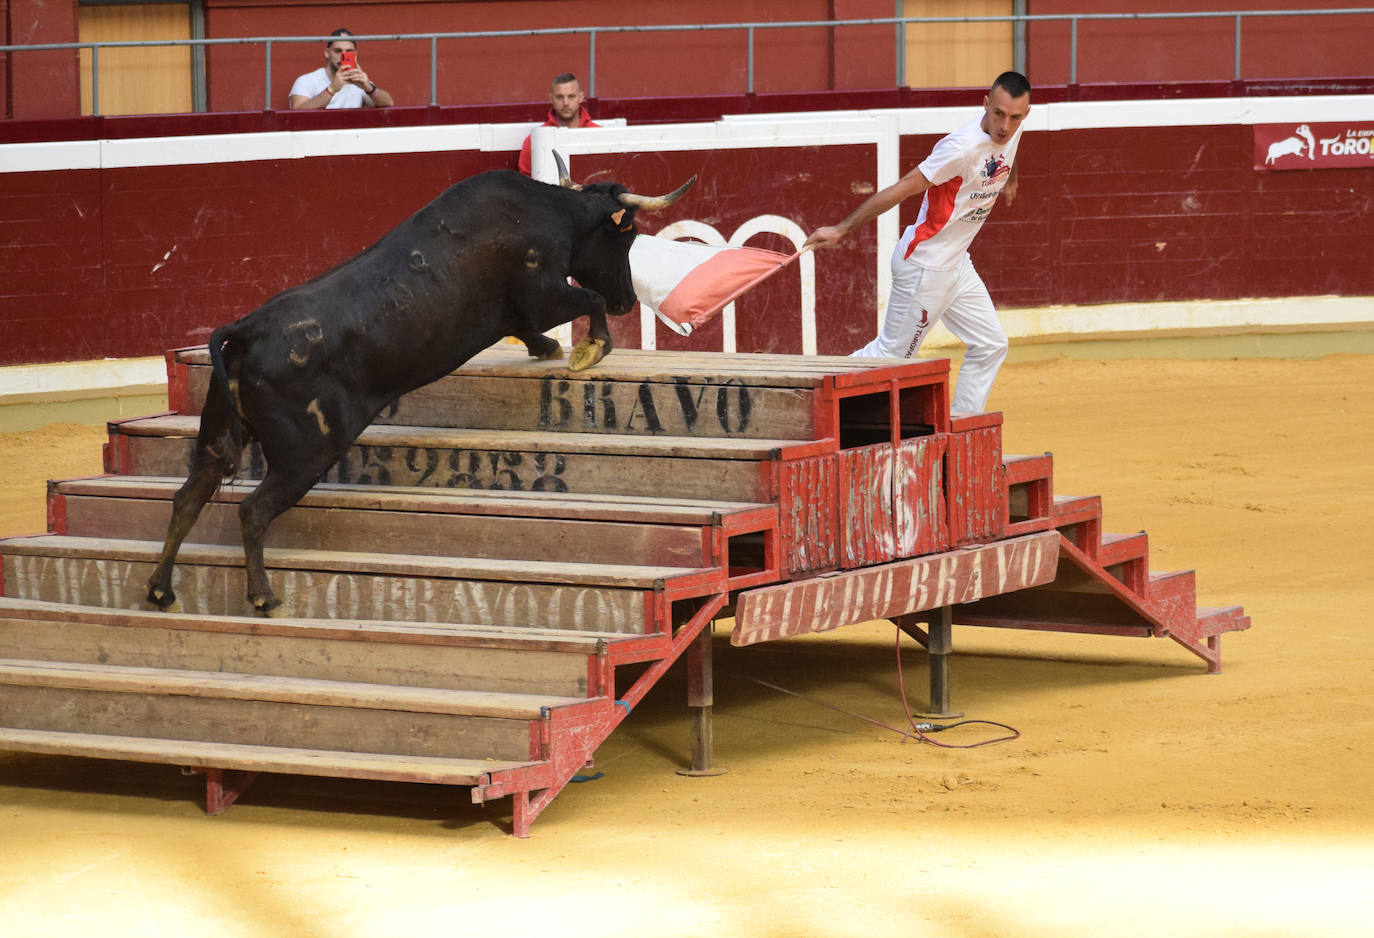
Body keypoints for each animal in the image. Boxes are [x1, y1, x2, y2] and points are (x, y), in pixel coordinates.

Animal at [147, 167, 697, 615]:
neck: (552, 210)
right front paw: (590, 349)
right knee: (252, 510)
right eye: (627, 239)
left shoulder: (519, 310)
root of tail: (246, 330)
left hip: (218, 435)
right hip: (306, 452)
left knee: (188, 498)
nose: (628, 301)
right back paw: (263, 597)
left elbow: (529, 326)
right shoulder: (545, 293)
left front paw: (550, 348)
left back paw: (160, 589)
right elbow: (587, 300)